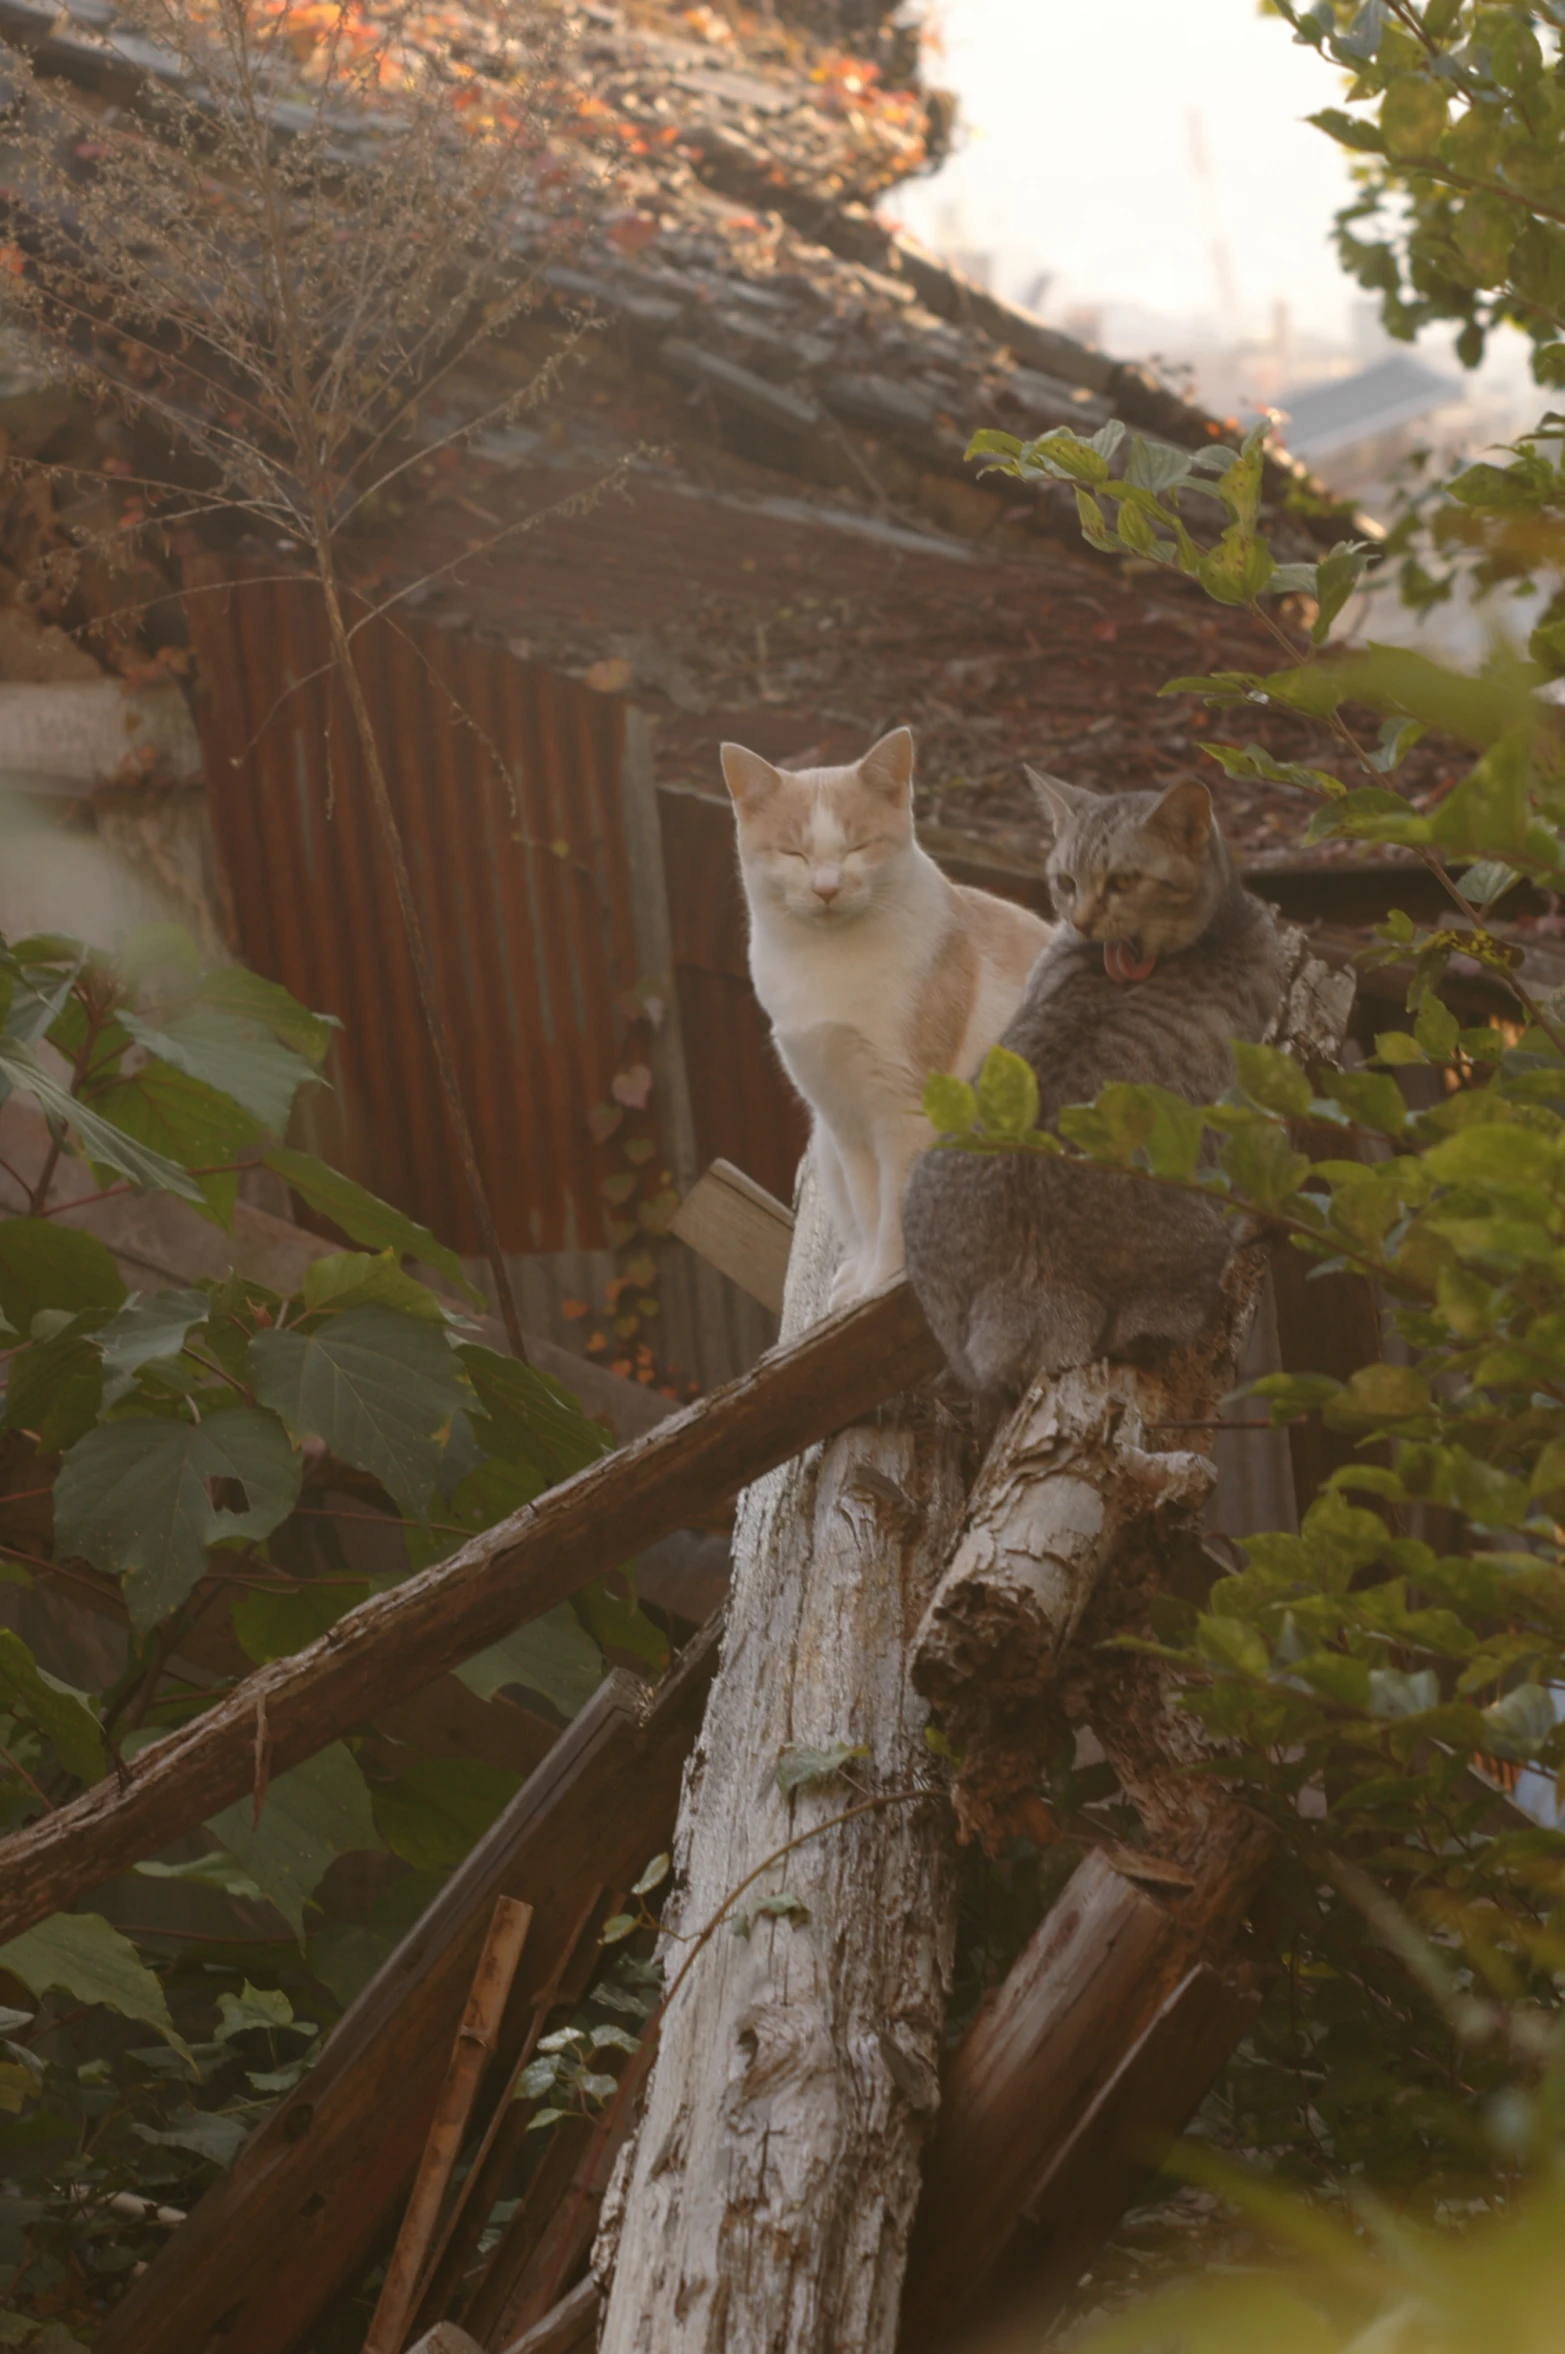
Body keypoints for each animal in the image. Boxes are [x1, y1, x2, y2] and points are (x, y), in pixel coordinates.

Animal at [724, 725, 1049, 1308]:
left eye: (859, 847)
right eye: (794, 853)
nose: (826, 888)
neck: (826, 965)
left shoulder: (905, 1111)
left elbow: (895, 1215)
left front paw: (884, 1284)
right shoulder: (845, 1120)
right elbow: (872, 1210)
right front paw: (867, 1282)